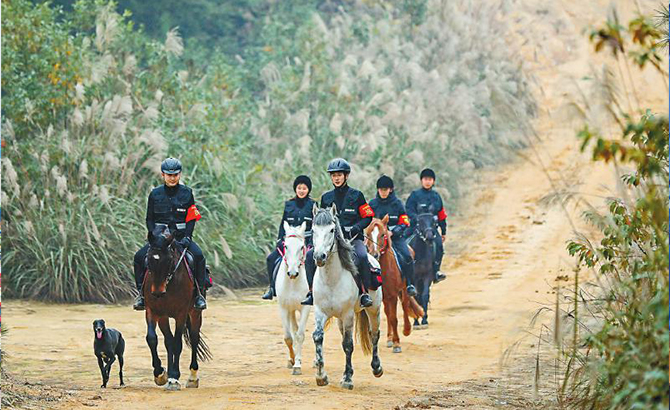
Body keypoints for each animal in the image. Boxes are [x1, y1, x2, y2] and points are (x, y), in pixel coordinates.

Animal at [144, 224, 210, 390]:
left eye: (168, 260)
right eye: (148, 259)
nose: (158, 292)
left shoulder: (181, 313)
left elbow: (177, 343)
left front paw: (174, 377)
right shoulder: (154, 312)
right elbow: (153, 339)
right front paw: (160, 374)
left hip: (195, 313)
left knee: (194, 338)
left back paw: (192, 377)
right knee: (168, 341)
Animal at [274, 221, 314, 374]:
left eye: (301, 247)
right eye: (286, 246)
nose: (292, 273)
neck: (293, 282)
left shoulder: (305, 308)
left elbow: (300, 335)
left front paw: (297, 365)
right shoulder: (284, 308)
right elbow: (288, 337)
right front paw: (291, 359)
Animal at [312, 205, 386, 390]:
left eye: (332, 230)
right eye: (313, 230)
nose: (319, 257)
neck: (332, 280)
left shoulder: (348, 315)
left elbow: (348, 345)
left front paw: (347, 379)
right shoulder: (320, 312)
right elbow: (318, 337)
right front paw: (321, 376)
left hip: (374, 309)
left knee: (374, 334)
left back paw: (377, 368)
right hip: (339, 319)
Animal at [368, 216, 426, 354]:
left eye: (383, 234)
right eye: (367, 234)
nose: (374, 255)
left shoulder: (393, 295)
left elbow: (394, 318)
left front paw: (397, 344)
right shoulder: (383, 296)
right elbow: (389, 316)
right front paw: (392, 340)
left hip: (404, 289)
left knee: (405, 305)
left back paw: (406, 329)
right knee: (388, 312)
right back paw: (389, 338)